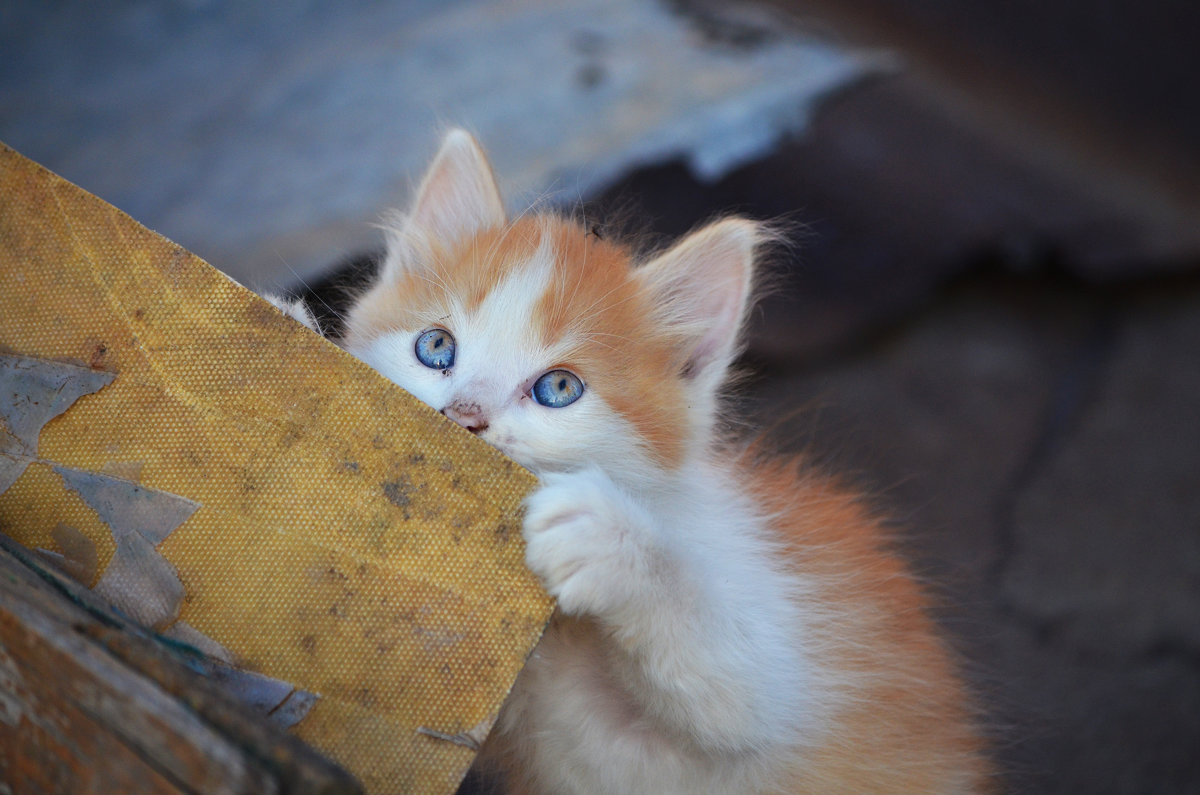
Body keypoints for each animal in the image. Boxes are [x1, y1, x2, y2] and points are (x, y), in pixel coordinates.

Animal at [295, 133, 988, 792]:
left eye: (559, 389)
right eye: (436, 348)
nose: (465, 415)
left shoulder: (775, 653)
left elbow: (731, 685)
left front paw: (610, 541)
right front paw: (293, 328)